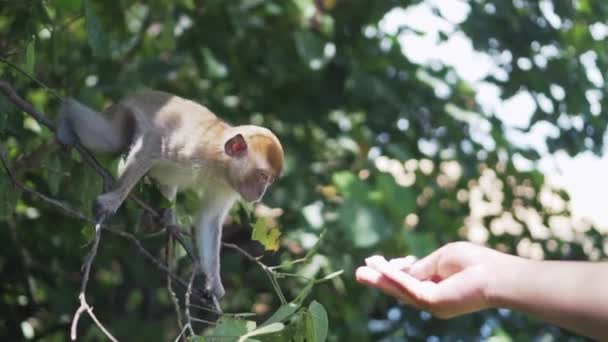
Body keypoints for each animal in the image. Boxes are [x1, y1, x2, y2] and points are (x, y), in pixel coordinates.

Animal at [55, 89, 284, 304]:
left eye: (270, 180)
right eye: (263, 176)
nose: (260, 193)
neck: (219, 162)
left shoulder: (227, 186)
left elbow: (209, 219)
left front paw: (213, 283)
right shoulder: (190, 145)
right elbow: (151, 146)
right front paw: (112, 201)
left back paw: (159, 219)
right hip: (123, 114)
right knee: (109, 140)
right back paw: (65, 115)